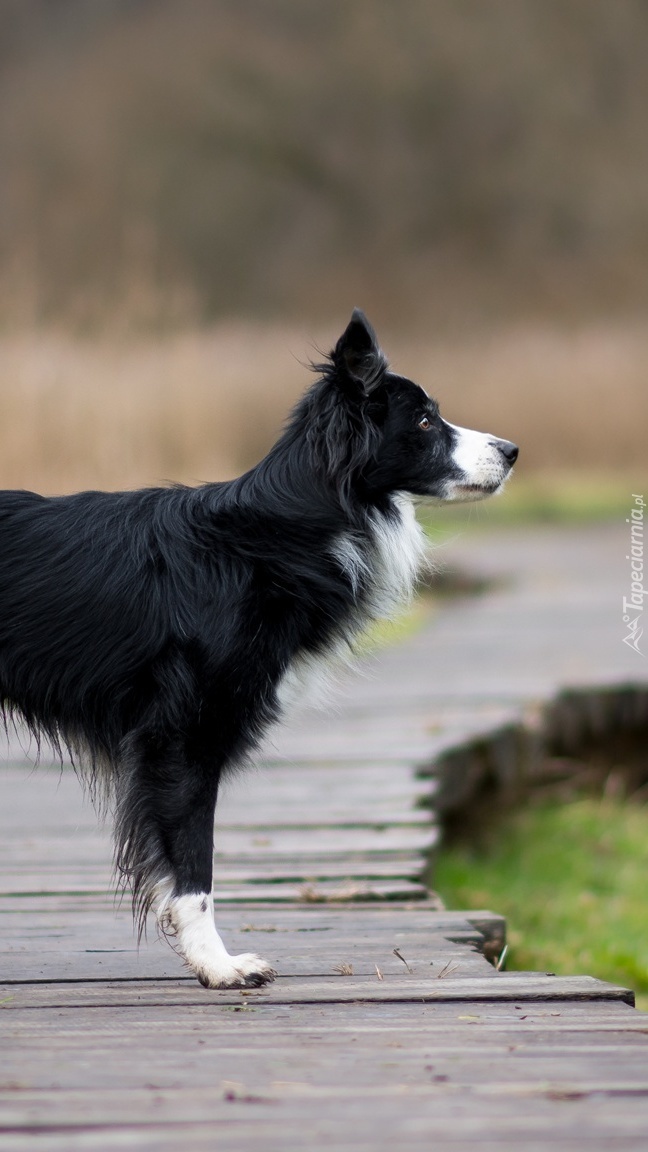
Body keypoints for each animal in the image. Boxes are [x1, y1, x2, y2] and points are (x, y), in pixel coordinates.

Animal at [0, 311, 514, 986]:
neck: (284, 528)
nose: (513, 451)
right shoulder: (184, 736)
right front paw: (220, 967)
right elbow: (194, 868)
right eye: (426, 421)